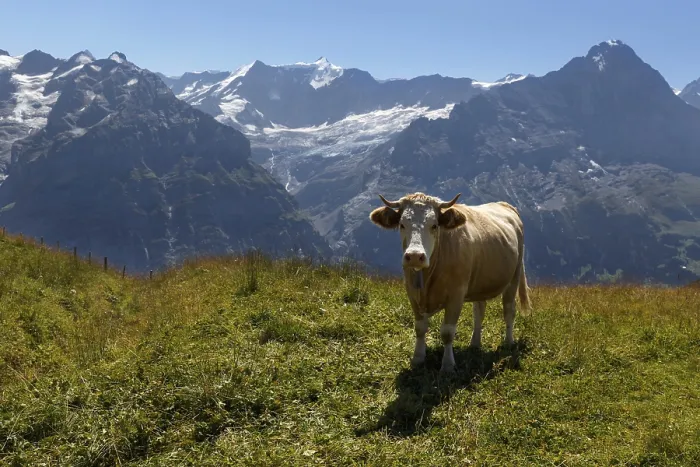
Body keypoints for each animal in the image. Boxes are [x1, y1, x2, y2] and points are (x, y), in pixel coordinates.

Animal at [369, 192, 530, 372]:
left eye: (434, 225)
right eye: (402, 224)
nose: (415, 256)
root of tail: (505, 205)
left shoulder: (456, 294)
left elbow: (447, 332)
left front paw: (447, 365)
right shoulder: (412, 293)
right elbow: (420, 328)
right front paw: (417, 358)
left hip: (514, 276)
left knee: (509, 311)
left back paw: (508, 343)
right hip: (480, 282)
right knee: (479, 312)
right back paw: (475, 344)